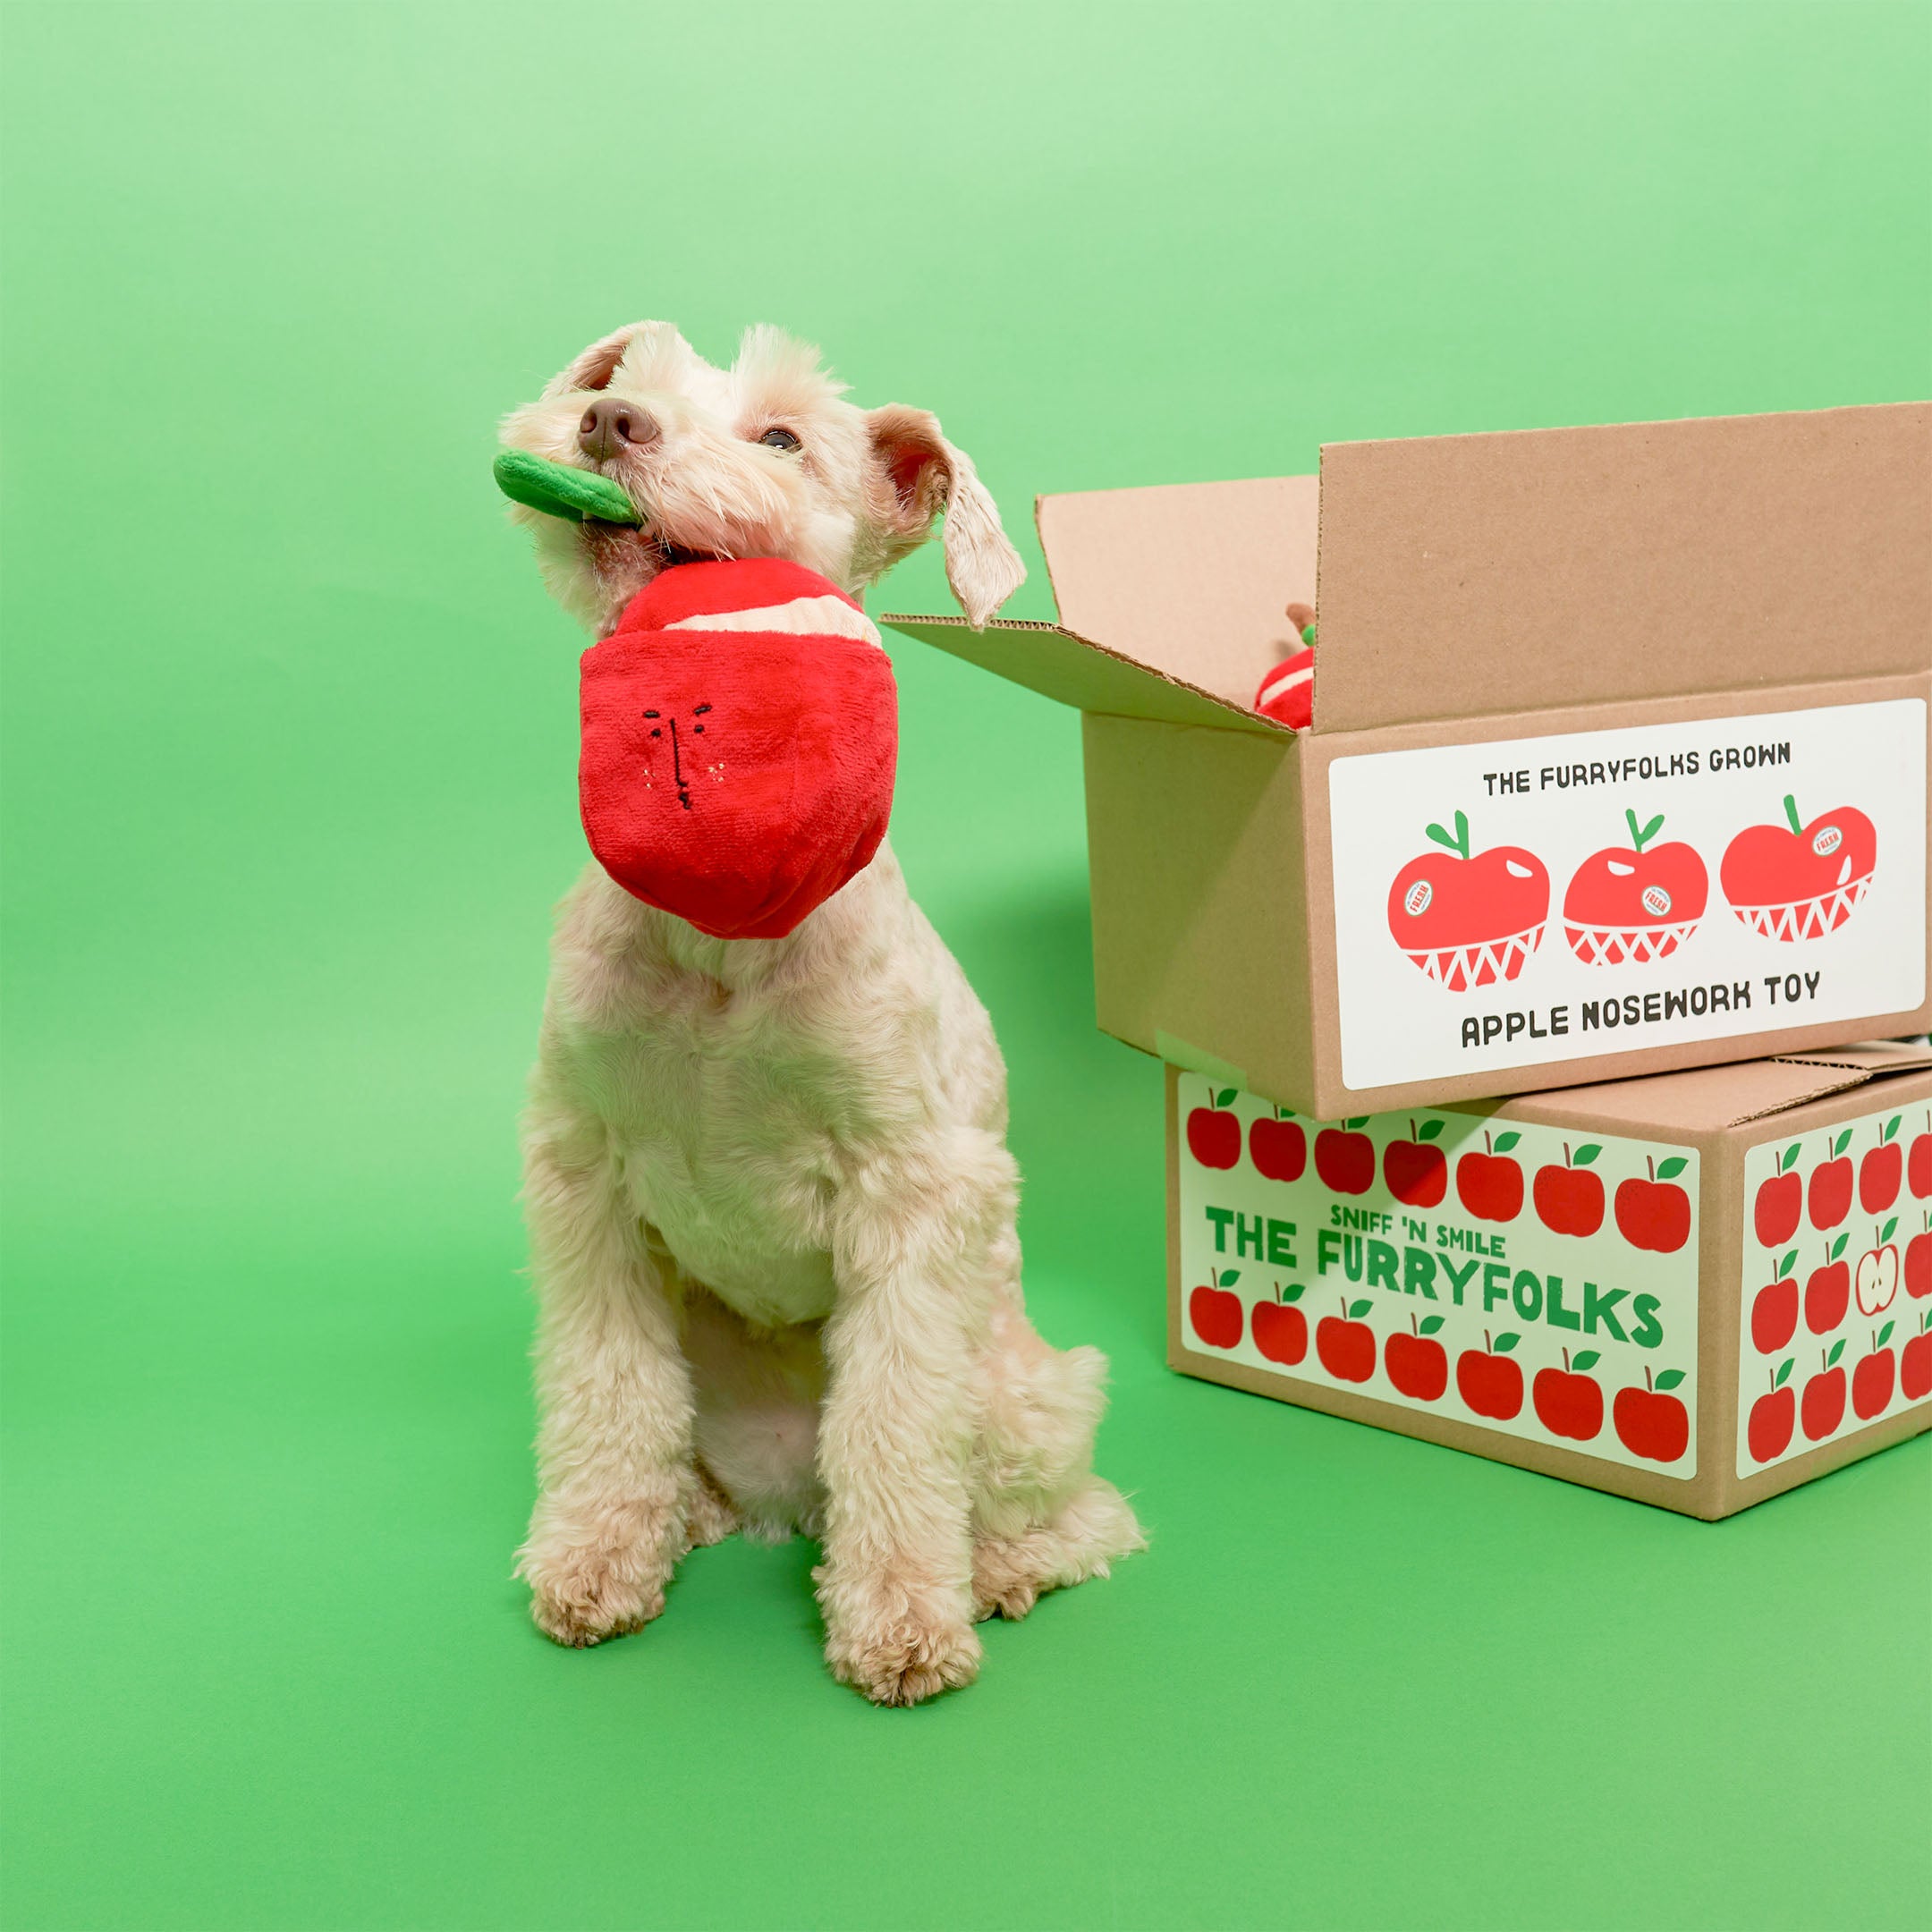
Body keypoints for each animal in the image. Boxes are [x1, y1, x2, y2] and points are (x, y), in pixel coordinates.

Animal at [494, 328, 1143, 1707]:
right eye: (619, 380)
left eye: (784, 438)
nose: (608, 424)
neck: (716, 930)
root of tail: (787, 1494)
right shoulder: (585, 1178)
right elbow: (604, 1391)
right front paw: (593, 1554)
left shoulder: (913, 1193)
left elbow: (895, 1429)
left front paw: (900, 1624)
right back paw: (681, 1514)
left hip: (1023, 1396)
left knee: (1074, 1511)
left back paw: (993, 1570)